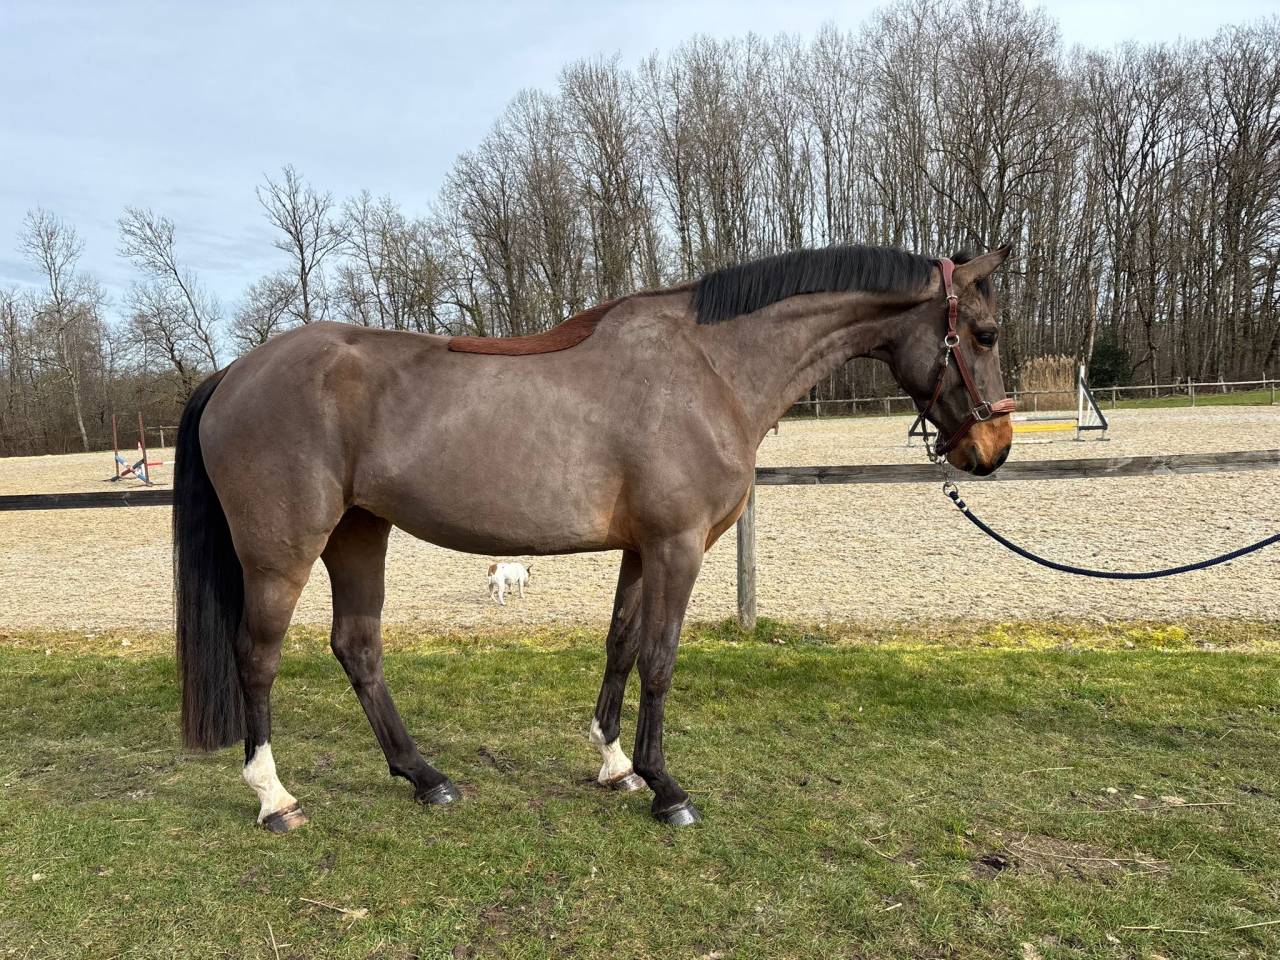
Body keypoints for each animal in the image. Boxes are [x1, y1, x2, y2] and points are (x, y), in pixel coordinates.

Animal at [173, 243, 1014, 830]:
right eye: (985, 332)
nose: (994, 448)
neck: (711, 369)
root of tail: (236, 372)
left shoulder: (643, 549)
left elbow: (621, 643)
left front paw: (616, 765)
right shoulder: (678, 545)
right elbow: (662, 659)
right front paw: (667, 789)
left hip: (357, 532)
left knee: (357, 647)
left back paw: (425, 777)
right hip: (283, 551)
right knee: (258, 656)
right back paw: (275, 797)